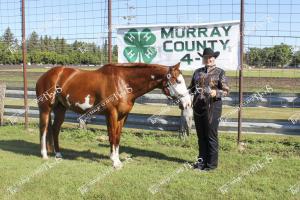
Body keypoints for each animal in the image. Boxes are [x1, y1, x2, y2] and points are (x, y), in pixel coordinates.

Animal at [35, 62, 192, 169]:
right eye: (178, 81)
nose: (188, 103)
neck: (123, 82)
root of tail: (46, 75)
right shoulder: (111, 114)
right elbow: (112, 136)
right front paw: (114, 162)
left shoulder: (123, 116)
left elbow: (117, 137)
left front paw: (117, 160)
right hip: (45, 109)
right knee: (43, 128)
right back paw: (44, 155)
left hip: (60, 110)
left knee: (55, 129)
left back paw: (58, 154)